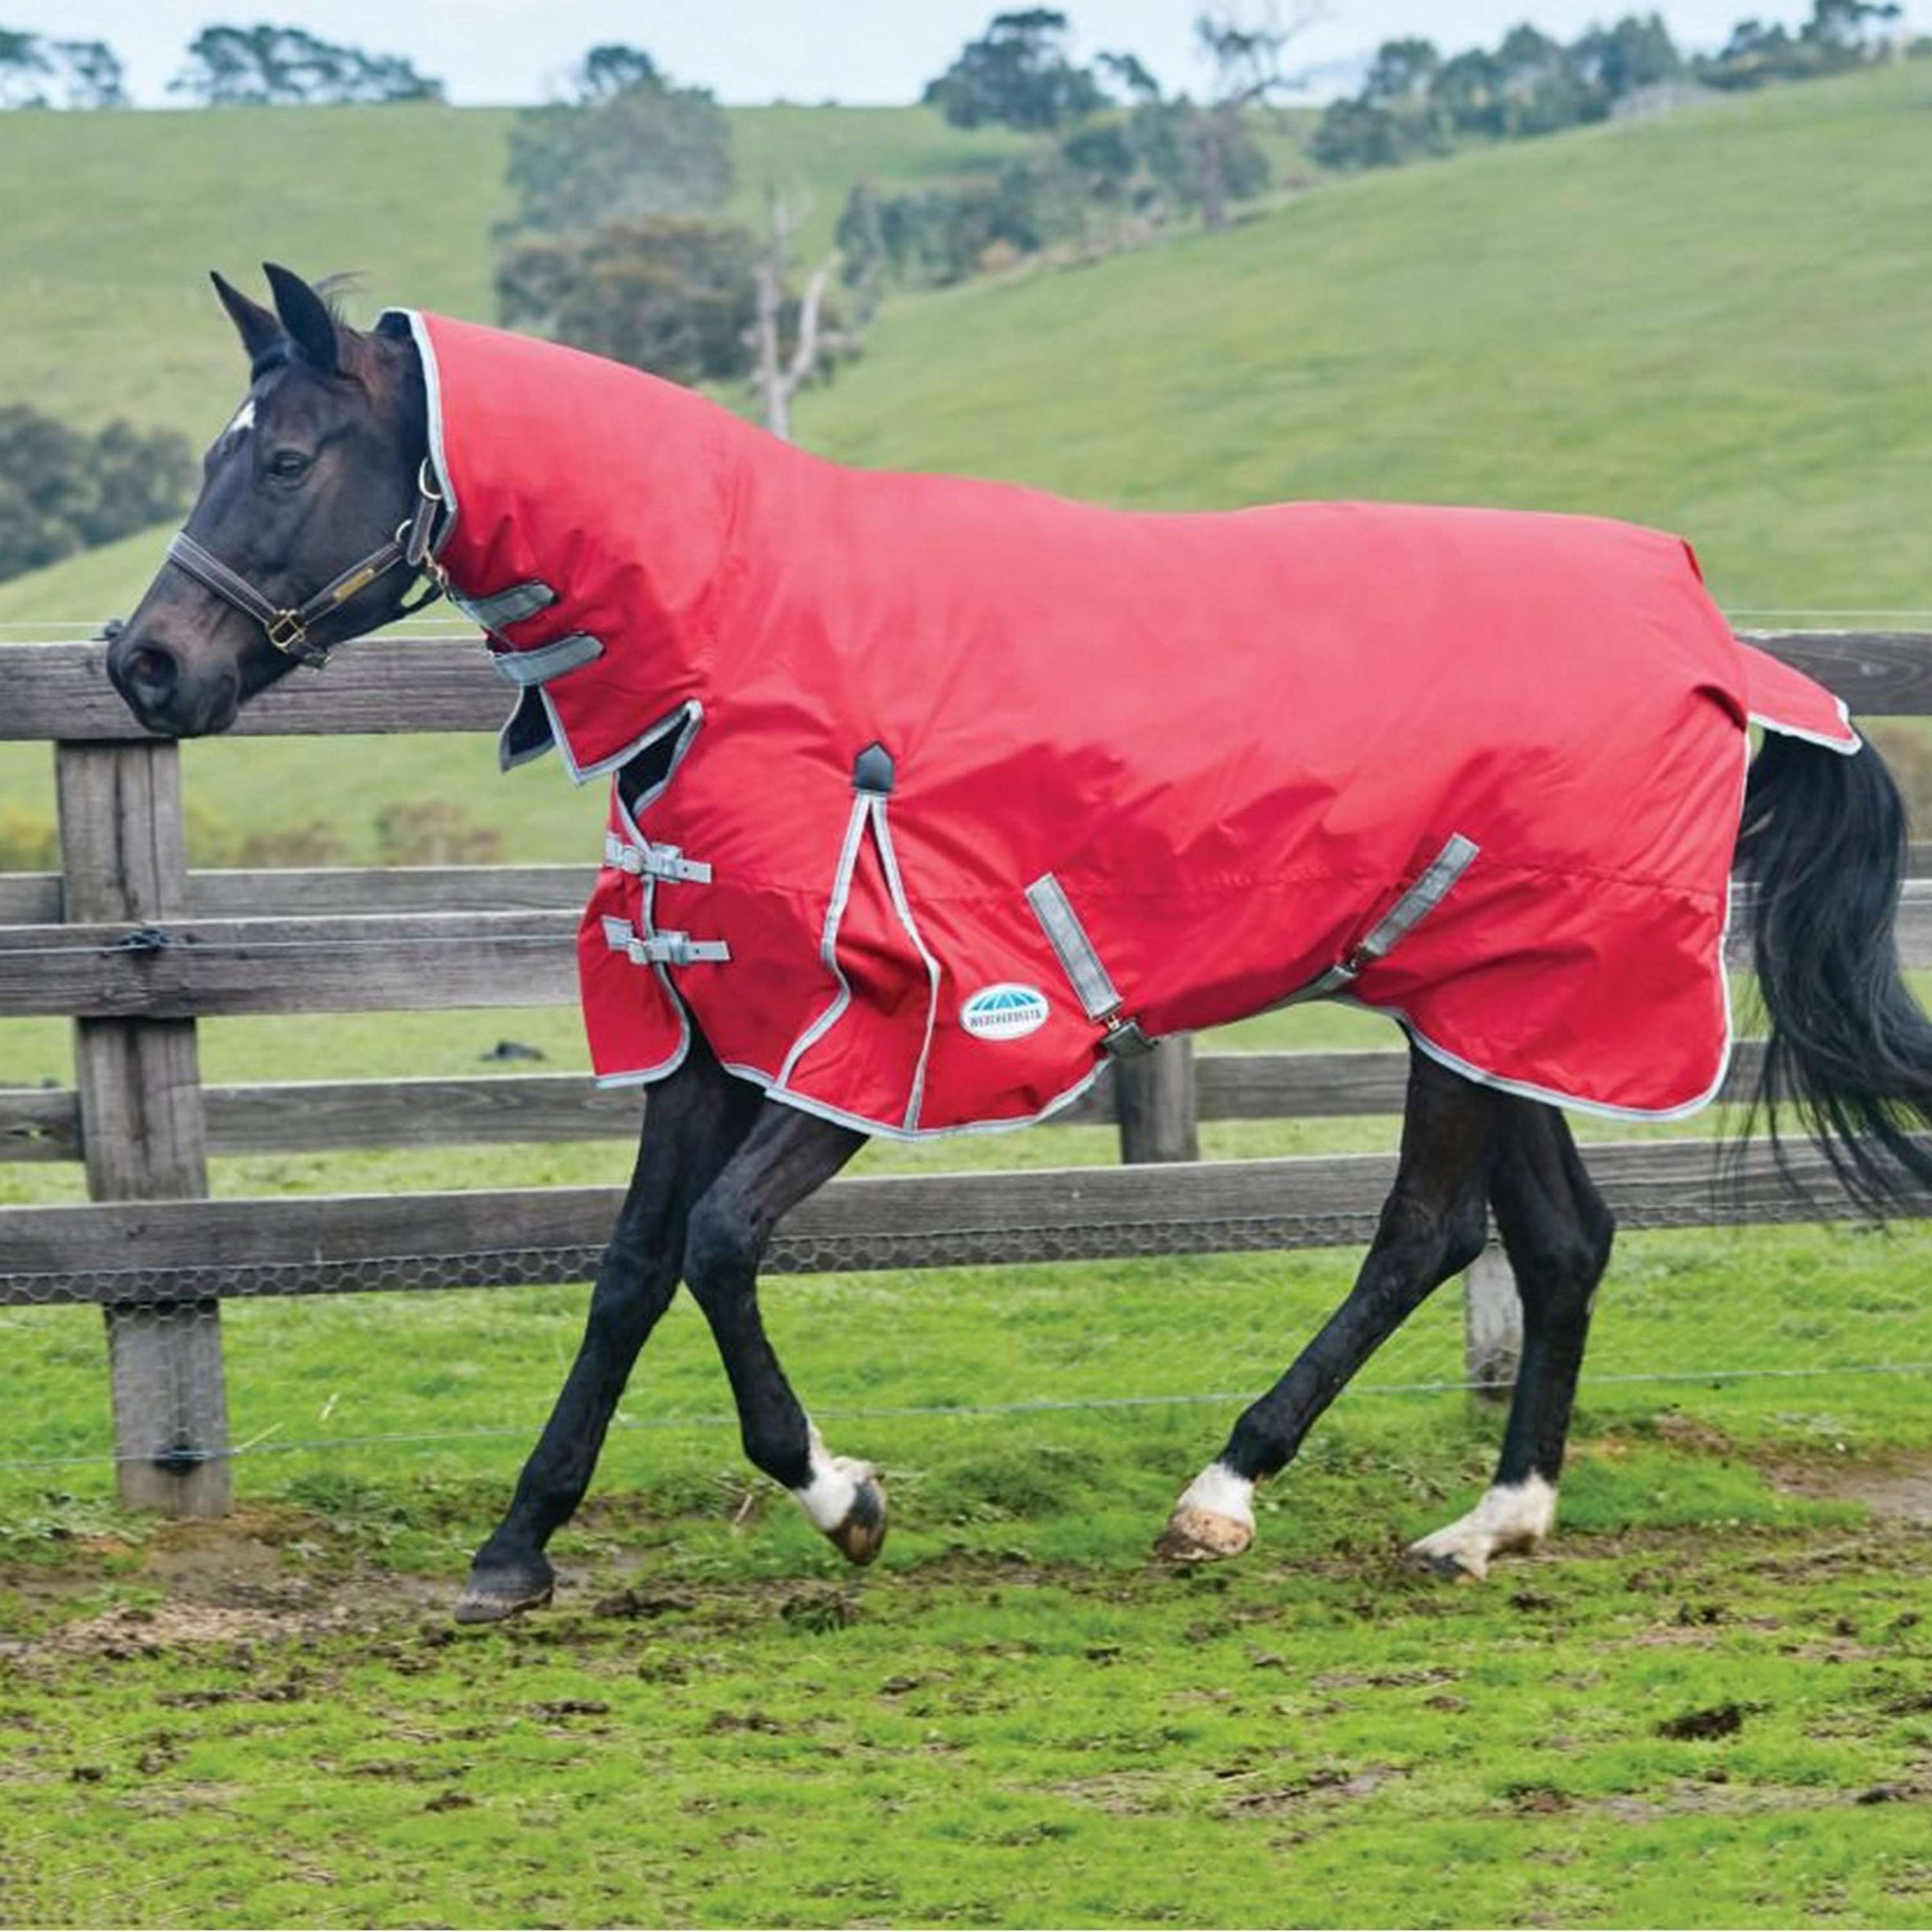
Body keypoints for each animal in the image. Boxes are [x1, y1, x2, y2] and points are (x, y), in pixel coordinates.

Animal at [105, 264, 1932, 1622]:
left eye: (282, 459)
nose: (144, 664)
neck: (743, 643)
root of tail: (1716, 639)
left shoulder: (896, 1036)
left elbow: (717, 1245)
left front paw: (842, 1498)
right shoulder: (710, 1027)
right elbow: (629, 1269)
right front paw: (513, 1551)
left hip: (1493, 1006)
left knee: (1424, 1234)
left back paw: (1223, 1498)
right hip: (1490, 1007)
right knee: (1558, 1241)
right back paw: (1491, 1526)